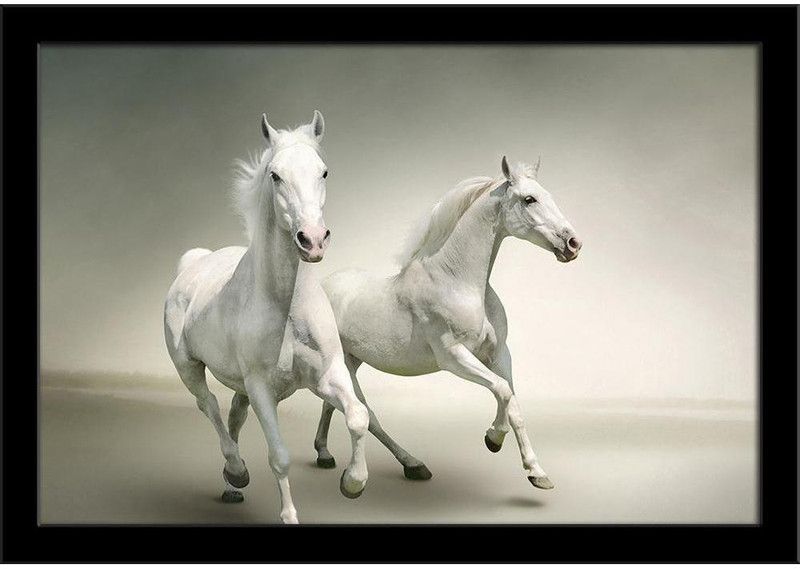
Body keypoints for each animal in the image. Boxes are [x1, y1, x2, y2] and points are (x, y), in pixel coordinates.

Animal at [164, 111, 370, 524]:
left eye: (324, 172)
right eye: (275, 175)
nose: (312, 240)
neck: (287, 308)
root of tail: (193, 263)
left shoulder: (327, 375)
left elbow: (357, 416)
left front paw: (352, 483)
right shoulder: (261, 389)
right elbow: (280, 457)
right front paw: (289, 515)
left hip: (239, 386)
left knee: (233, 417)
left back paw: (231, 484)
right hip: (188, 367)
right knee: (209, 406)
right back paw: (236, 471)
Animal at [313, 156, 582, 492]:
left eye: (548, 195)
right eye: (529, 199)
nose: (573, 243)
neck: (457, 281)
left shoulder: (498, 354)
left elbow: (514, 404)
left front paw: (537, 472)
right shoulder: (453, 357)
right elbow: (502, 391)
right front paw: (493, 439)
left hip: (351, 361)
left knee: (333, 405)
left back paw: (325, 454)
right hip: (344, 365)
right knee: (366, 414)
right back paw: (409, 465)